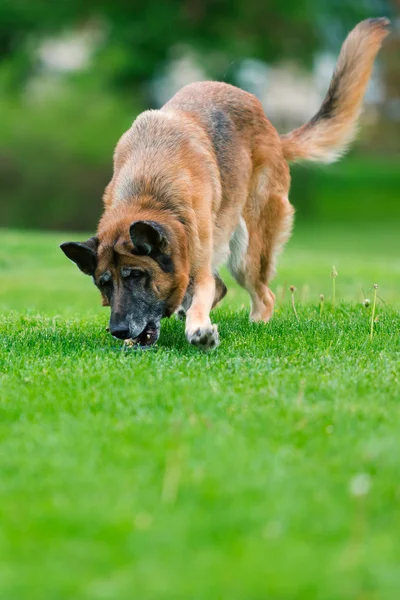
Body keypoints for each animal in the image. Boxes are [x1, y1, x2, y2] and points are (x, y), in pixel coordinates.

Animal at [61, 18, 390, 350]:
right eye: (104, 284)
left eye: (136, 275)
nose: (117, 330)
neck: (150, 192)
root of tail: (273, 132)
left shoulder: (199, 265)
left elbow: (201, 299)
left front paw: (199, 330)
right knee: (225, 289)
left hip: (247, 256)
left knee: (263, 296)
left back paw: (256, 325)